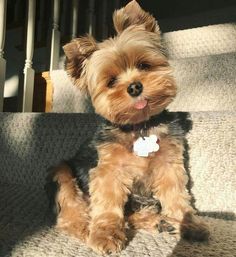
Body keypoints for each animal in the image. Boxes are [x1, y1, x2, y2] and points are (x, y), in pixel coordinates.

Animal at [45, 0, 209, 252]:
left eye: (144, 65)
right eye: (111, 81)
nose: (134, 87)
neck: (139, 127)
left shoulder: (169, 164)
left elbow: (175, 194)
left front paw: (186, 222)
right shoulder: (108, 169)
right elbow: (108, 203)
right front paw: (105, 234)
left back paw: (160, 221)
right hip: (62, 171)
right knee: (70, 213)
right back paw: (87, 227)